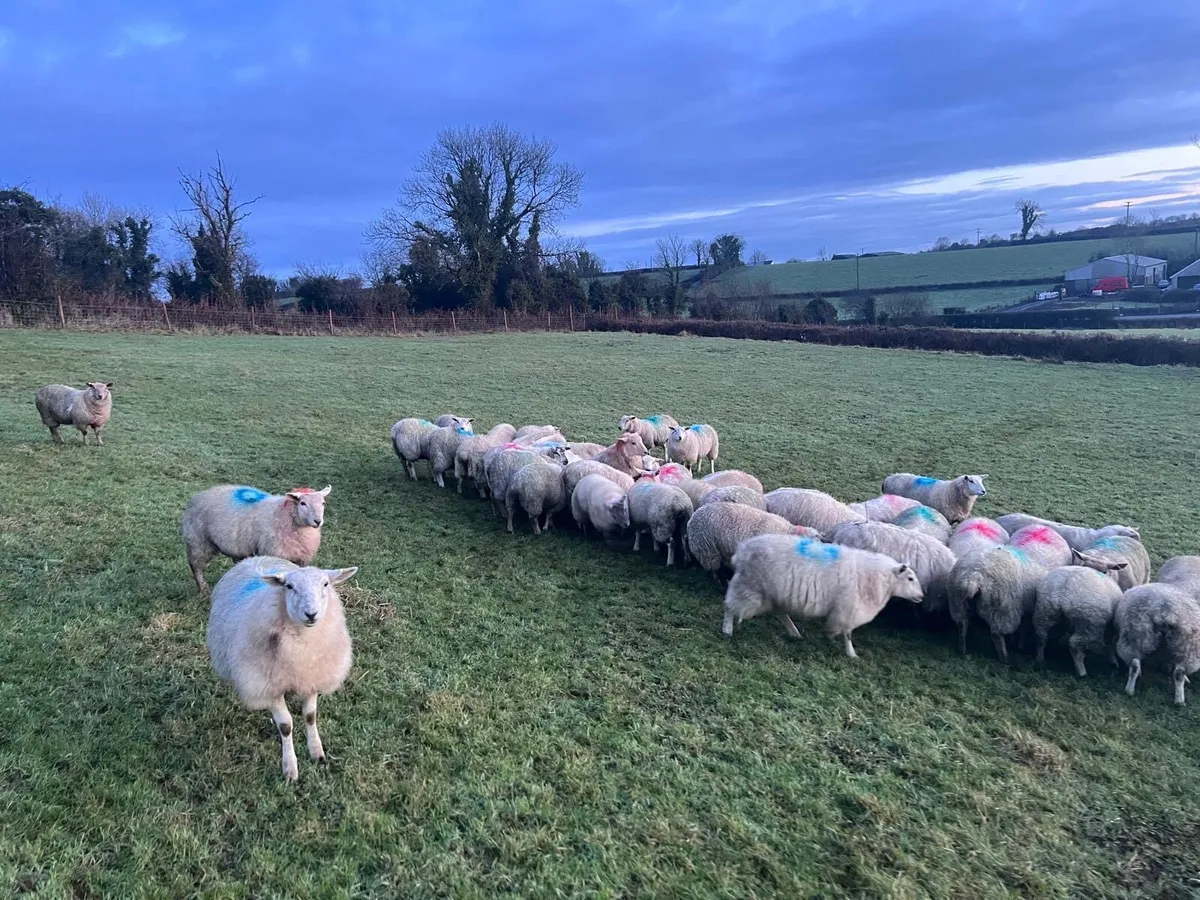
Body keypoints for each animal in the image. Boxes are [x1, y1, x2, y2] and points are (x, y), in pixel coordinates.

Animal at [182, 485, 331, 594]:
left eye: (323, 503)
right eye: (302, 503)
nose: (318, 521)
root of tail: (201, 494)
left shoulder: (301, 560)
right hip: (199, 540)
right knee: (195, 566)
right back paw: (204, 590)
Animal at [207, 556, 358, 781]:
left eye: (325, 584)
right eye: (289, 586)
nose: (311, 614)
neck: (303, 645)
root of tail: (254, 558)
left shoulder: (312, 677)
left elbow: (310, 716)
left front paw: (316, 752)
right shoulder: (269, 686)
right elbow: (285, 726)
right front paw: (290, 768)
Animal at [722, 534, 923, 657]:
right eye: (910, 578)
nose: (921, 597)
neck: (881, 578)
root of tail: (742, 550)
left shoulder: (844, 610)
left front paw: (830, 637)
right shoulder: (849, 608)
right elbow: (847, 633)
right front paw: (850, 653)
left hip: (771, 593)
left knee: (779, 612)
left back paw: (794, 633)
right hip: (751, 586)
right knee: (730, 606)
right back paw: (727, 630)